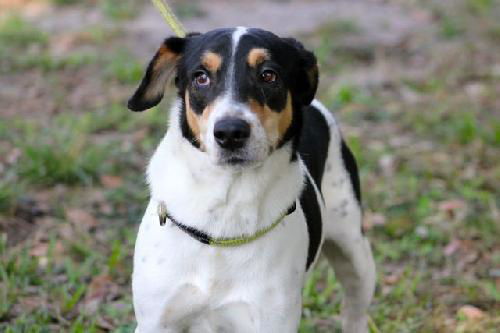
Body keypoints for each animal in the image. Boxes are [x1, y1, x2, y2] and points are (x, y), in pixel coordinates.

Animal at [129, 26, 376, 332]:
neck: (225, 206)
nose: (230, 132)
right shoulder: (156, 319)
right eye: (201, 77)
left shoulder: (272, 320)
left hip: (355, 252)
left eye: (268, 75)